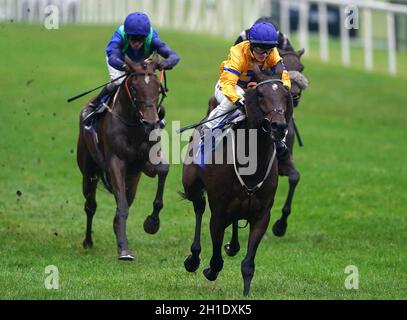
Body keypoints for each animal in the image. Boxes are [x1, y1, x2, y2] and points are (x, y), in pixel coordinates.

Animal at [77, 53, 168, 262]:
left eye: (158, 88)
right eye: (134, 87)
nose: (151, 122)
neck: (134, 127)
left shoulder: (144, 165)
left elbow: (163, 170)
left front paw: (152, 222)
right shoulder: (115, 163)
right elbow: (122, 207)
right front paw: (124, 250)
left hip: (133, 180)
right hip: (88, 171)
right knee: (90, 205)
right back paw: (88, 241)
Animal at [182, 63, 294, 296]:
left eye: (284, 95)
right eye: (261, 94)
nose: (279, 126)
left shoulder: (262, 215)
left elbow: (248, 263)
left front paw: (246, 290)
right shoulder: (218, 213)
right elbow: (216, 259)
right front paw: (209, 269)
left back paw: (232, 246)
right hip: (191, 185)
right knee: (198, 207)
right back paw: (193, 258)